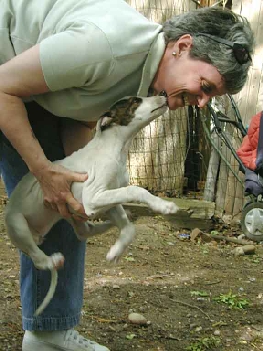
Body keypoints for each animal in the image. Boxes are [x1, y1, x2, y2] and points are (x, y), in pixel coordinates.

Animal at [5, 95, 179, 316]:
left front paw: (116, 251)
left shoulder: (108, 199)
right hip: (19, 225)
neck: (115, 147)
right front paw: (165, 206)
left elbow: (128, 228)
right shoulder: (93, 197)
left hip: (72, 215)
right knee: (38, 258)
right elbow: (135, 190)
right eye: (135, 101)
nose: (163, 94)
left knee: (84, 232)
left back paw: (108, 225)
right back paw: (52, 260)